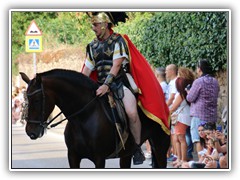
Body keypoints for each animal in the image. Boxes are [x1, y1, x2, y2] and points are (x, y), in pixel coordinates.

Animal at [20, 69, 171, 169]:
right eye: (26, 99)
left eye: (37, 100)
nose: (30, 131)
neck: (83, 118)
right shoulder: (73, 157)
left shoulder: (99, 159)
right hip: (126, 153)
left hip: (160, 146)